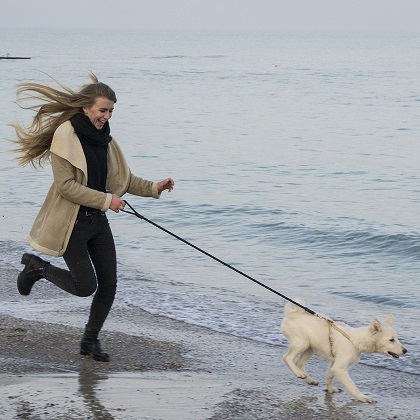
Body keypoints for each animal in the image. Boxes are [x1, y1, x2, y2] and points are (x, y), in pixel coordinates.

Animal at [278, 300, 406, 402]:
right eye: (391, 340)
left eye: (396, 338)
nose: (405, 351)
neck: (355, 340)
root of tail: (293, 314)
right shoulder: (340, 368)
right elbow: (351, 385)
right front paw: (363, 397)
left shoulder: (335, 364)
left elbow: (329, 376)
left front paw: (330, 389)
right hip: (302, 343)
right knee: (287, 357)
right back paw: (299, 373)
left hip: (310, 348)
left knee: (299, 363)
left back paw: (309, 379)